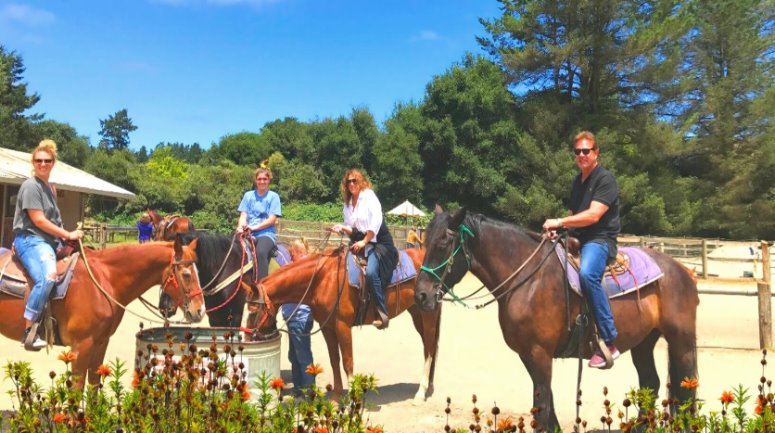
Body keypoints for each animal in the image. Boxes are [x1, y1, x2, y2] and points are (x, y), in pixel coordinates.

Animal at [0, 240, 206, 384]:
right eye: (187, 275)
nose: (200, 311)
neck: (103, 280)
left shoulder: (101, 343)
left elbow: (93, 385)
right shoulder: (81, 346)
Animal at [247, 245, 442, 400]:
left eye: (253, 310)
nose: (248, 339)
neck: (323, 279)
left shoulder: (343, 326)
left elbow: (348, 361)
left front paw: (351, 398)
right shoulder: (327, 327)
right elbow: (335, 360)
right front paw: (336, 395)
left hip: (428, 314)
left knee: (429, 349)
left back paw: (421, 391)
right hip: (417, 312)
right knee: (430, 347)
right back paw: (429, 387)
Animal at [416, 208, 700, 430]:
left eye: (443, 244)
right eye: (423, 241)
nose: (421, 295)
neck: (528, 279)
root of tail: (681, 270)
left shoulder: (540, 353)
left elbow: (541, 406)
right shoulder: (528, 355)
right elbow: (547, 403)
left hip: (681, 341)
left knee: (687, 387)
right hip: (643, 343)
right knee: (650, 384)